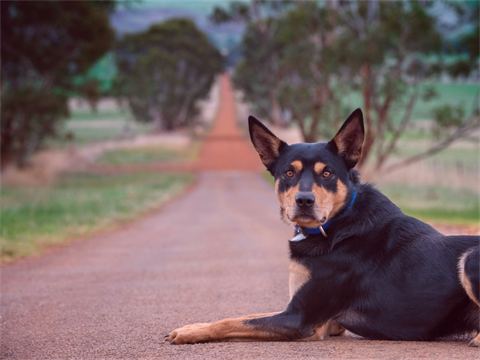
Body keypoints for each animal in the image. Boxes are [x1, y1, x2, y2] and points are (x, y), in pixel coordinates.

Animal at [169, 109, 480, 346]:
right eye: (289, 173)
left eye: (327, 173)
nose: (304, 201)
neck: (337, 224)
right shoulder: (320, 319)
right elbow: (242, 316)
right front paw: (193, 327)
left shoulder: (300, 319)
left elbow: (235, 321)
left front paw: (192, 331)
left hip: (469, 258)